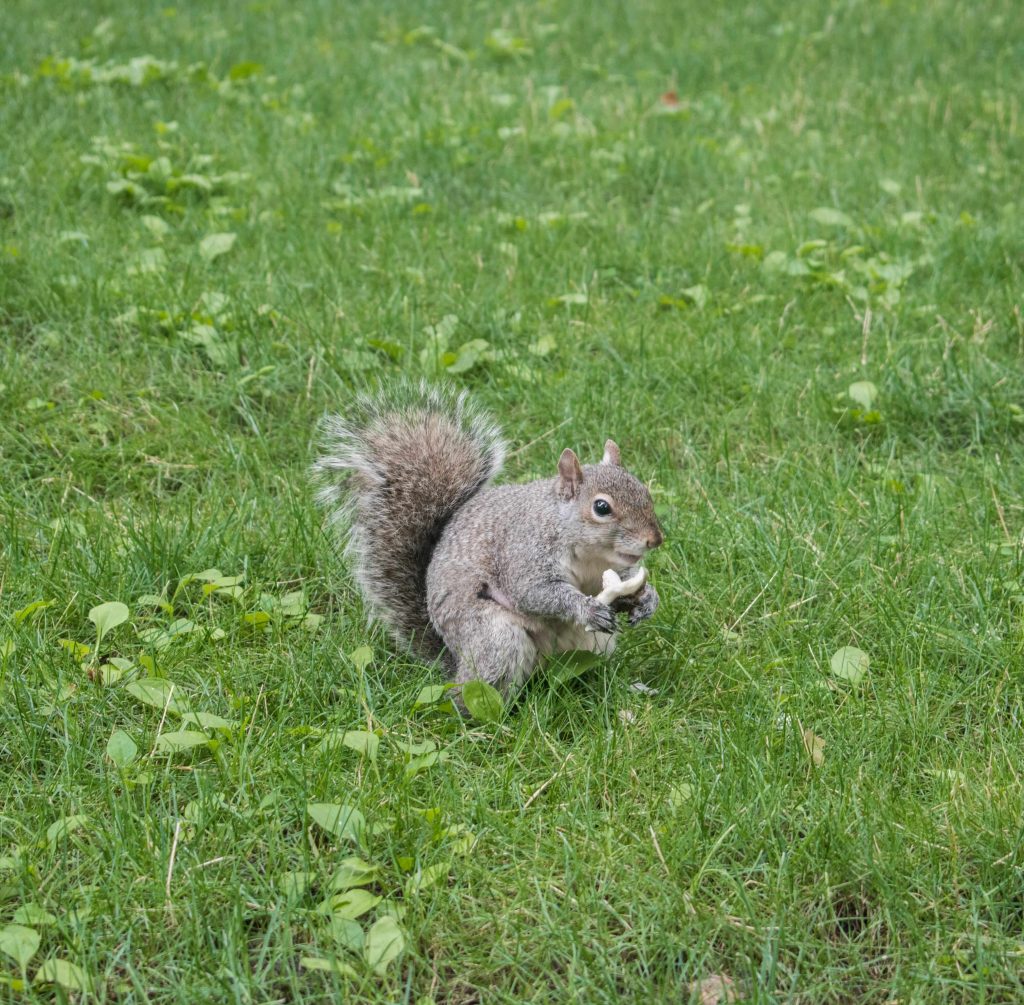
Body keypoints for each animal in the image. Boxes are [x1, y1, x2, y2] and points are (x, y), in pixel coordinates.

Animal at [313, 382, 664, 701]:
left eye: (644, 491)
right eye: (601, 507)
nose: (655, 539)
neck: (589, 552)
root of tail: (454, 662)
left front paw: (647, 599)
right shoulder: (523, 552)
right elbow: (534, 592)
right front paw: (586, 608)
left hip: (594, 646)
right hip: (494, 638)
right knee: (477, 690)